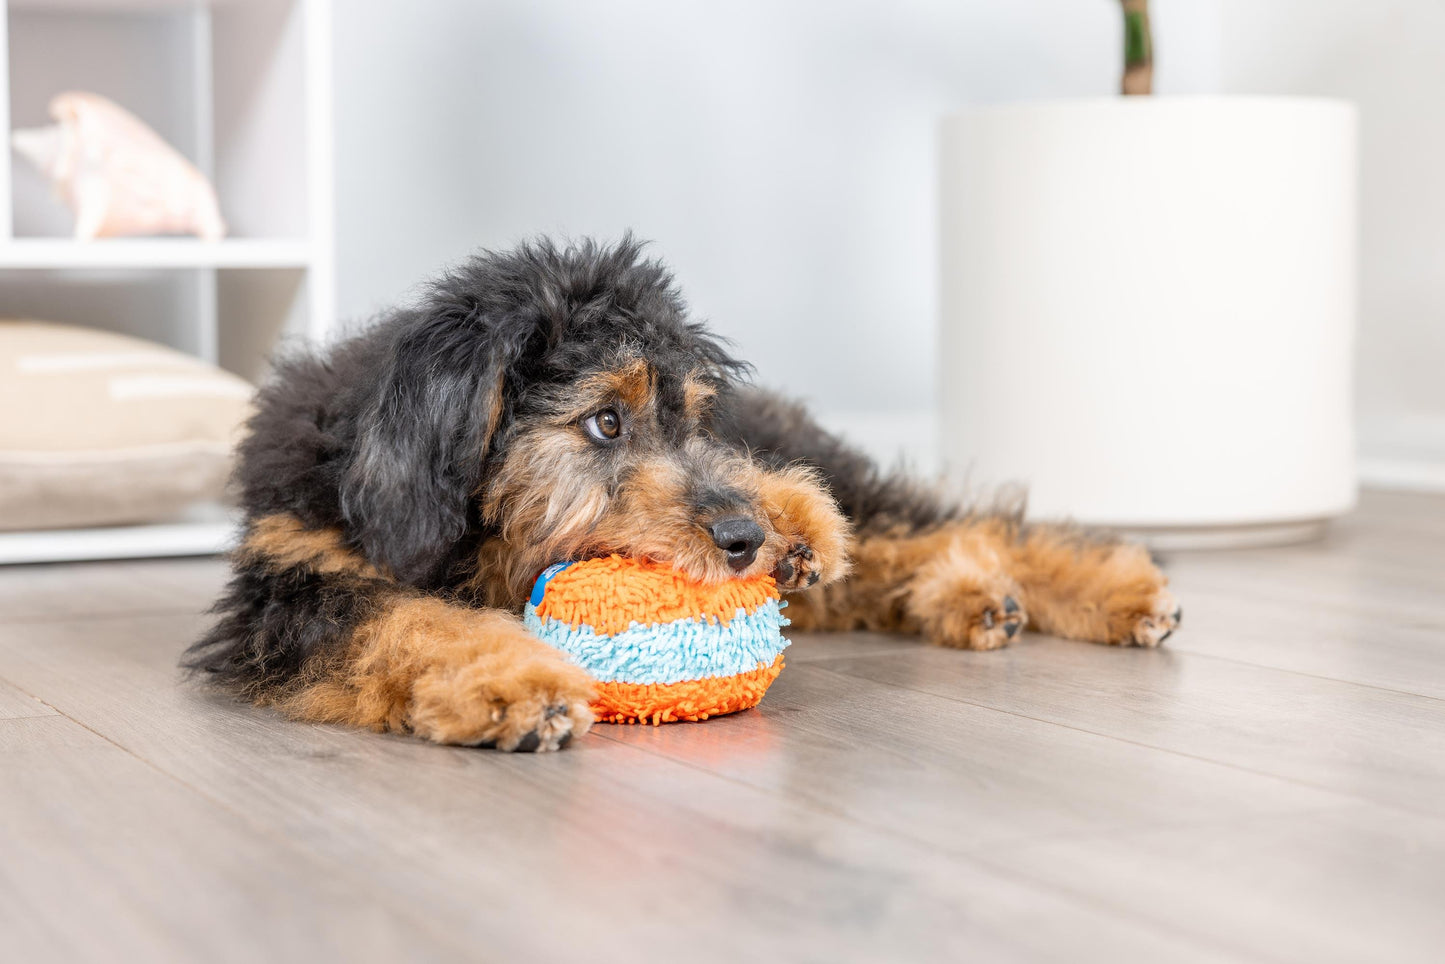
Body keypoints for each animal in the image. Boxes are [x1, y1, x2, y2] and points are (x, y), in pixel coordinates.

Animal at [186, 235, 1179, 751]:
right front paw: (511, 680)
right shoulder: (290, 586)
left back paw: (1110, 593)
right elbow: (405, 620)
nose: (744, 536)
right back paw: (970, 598)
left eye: (694, 415)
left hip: (827, 467)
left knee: (951, 523)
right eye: (605, 421)